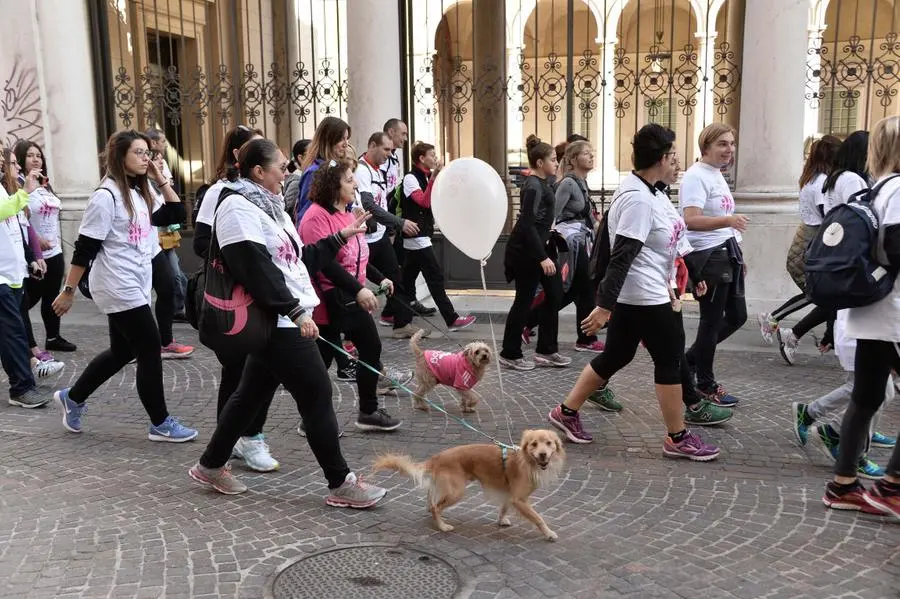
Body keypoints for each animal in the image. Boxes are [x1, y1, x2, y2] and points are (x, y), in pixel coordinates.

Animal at [372, 428, 564, 540]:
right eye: (534, 444)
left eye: (549, 443)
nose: (543, 454)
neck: (527, 461)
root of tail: (437, 458)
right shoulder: (519, 500)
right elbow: (538, 518)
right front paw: (549, 533)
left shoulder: (510, 494)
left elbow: (504, 508)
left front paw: (501, 520)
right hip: (456, 491)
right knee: (436, 507)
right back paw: (442, 526)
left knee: (431, 498)